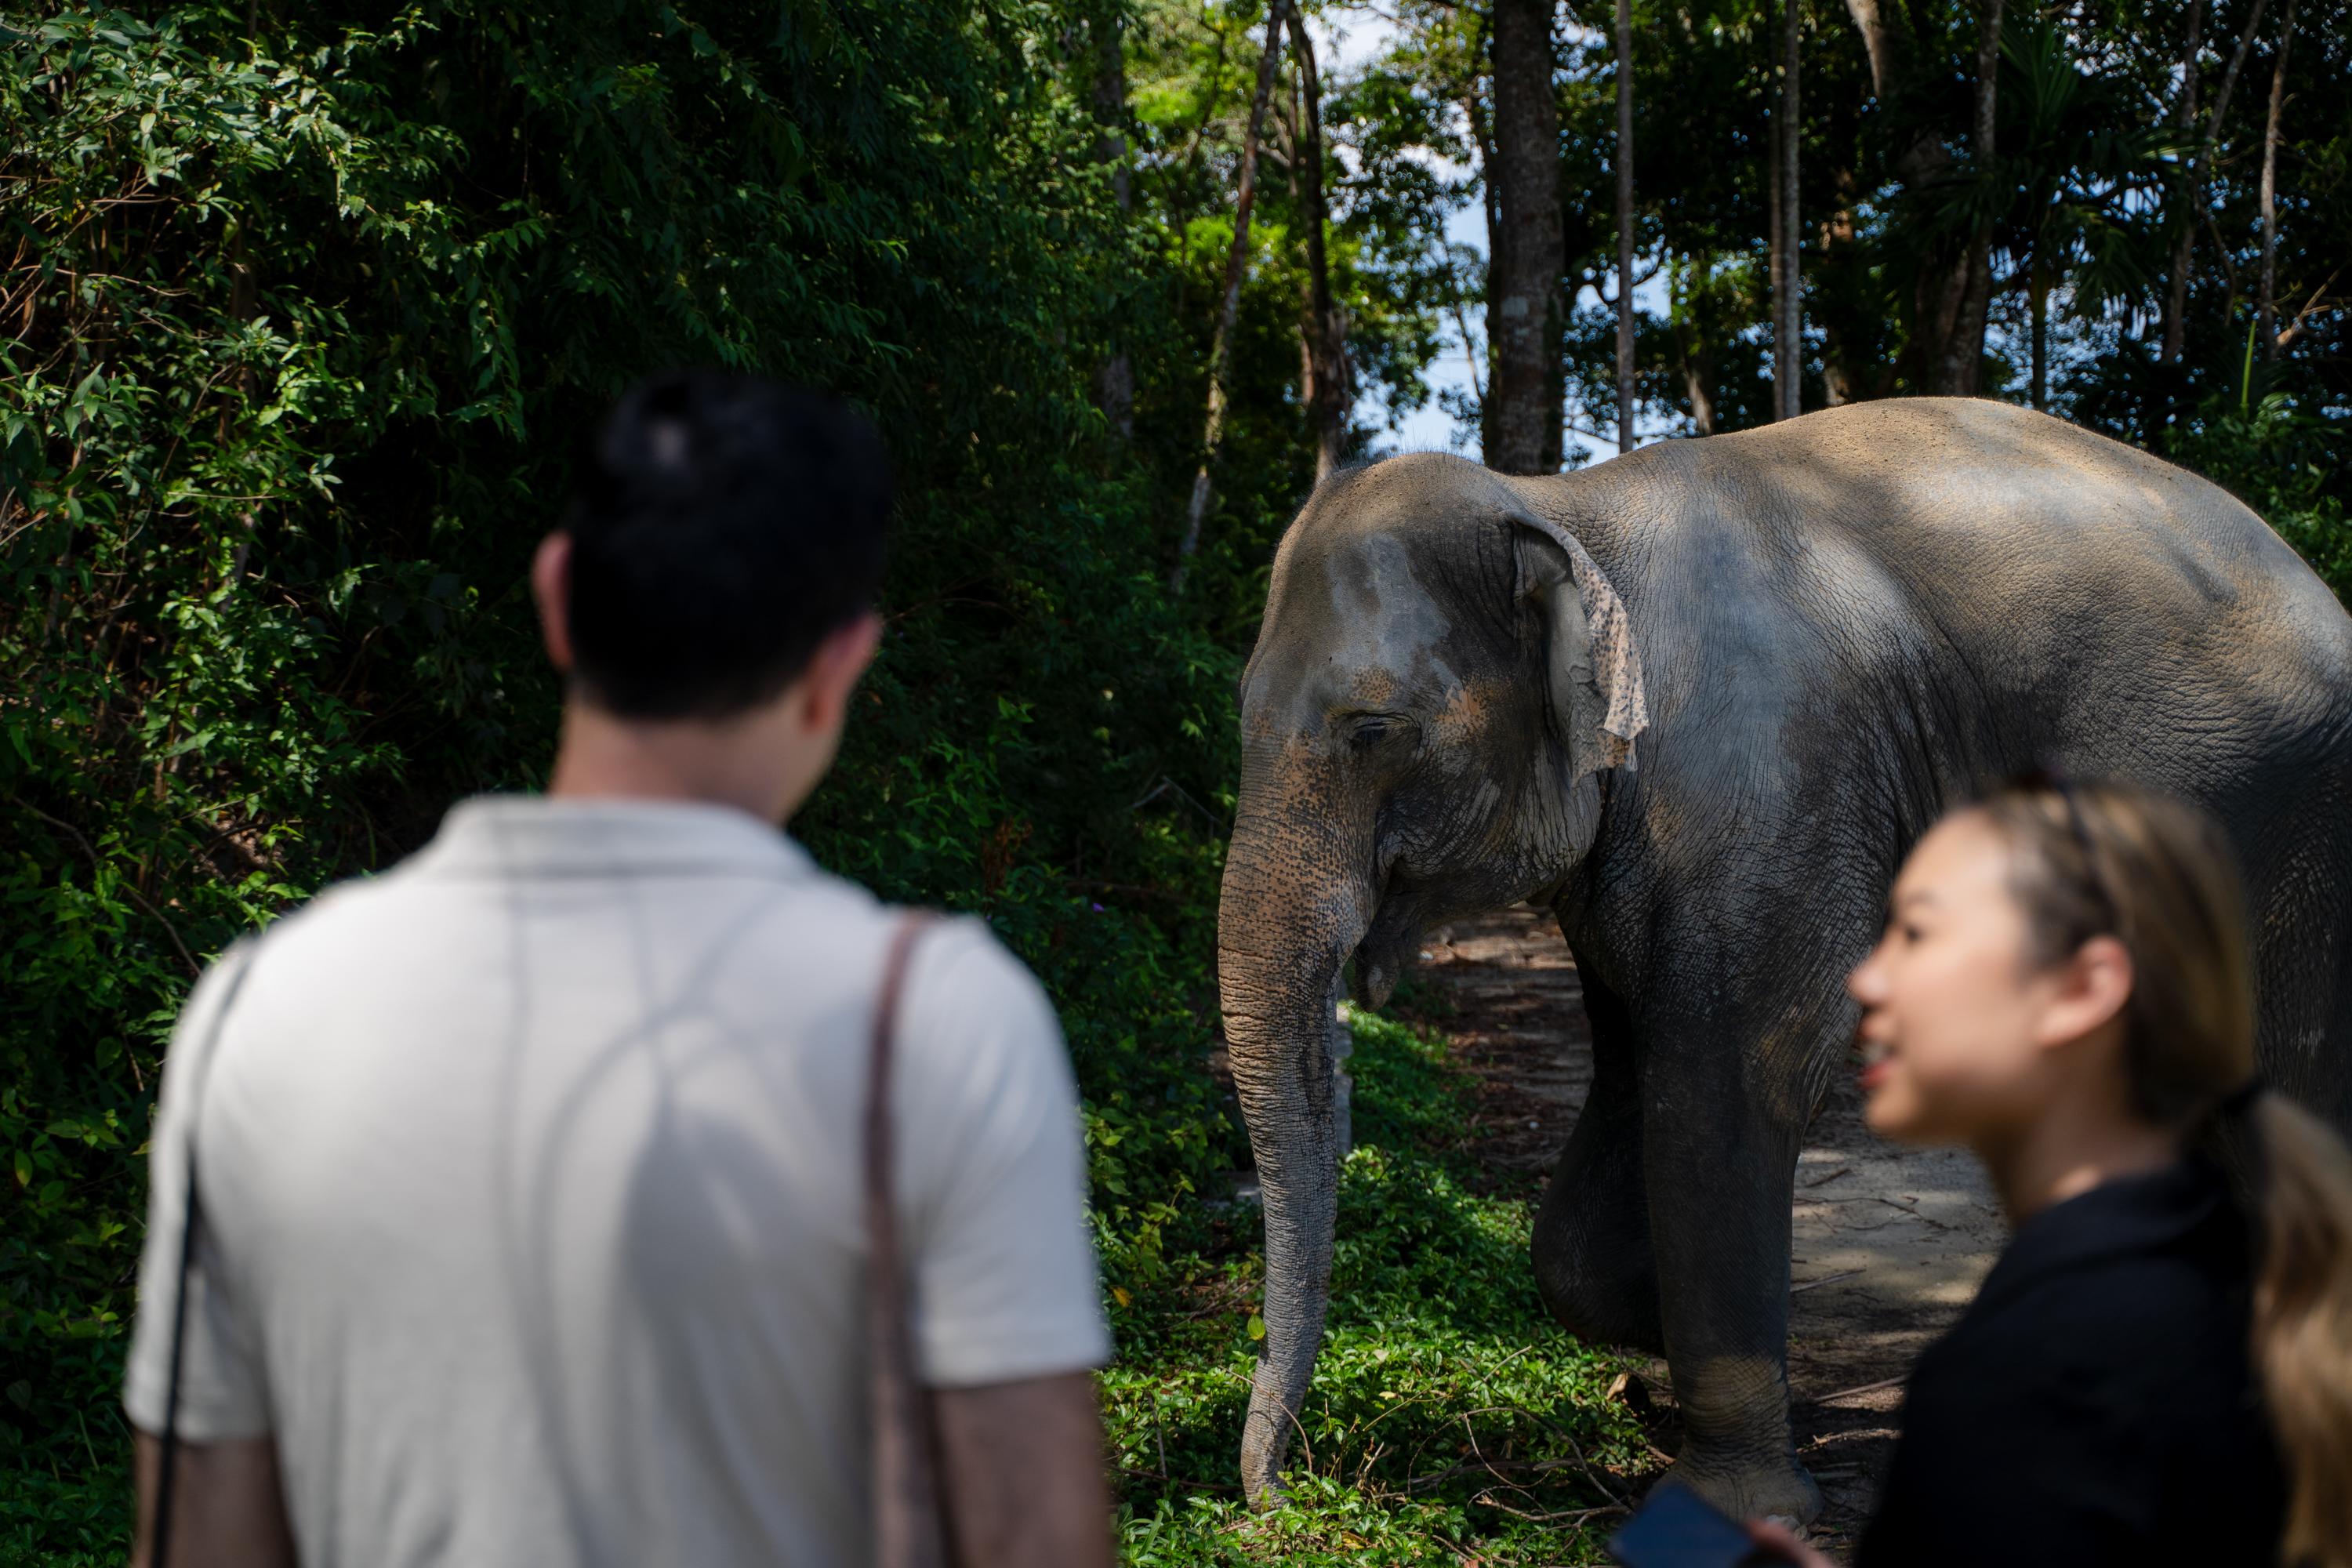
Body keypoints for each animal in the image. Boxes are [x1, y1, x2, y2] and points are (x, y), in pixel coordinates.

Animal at [1215, 397, 2352, 1521]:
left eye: (1372, 727)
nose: (1279, 1493)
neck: (1566, 507)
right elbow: (1619, 1104)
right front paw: (1670, 1372)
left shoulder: (1763, 783)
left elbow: (1734, 1071)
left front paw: (1737, 1500)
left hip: (2281, 847)